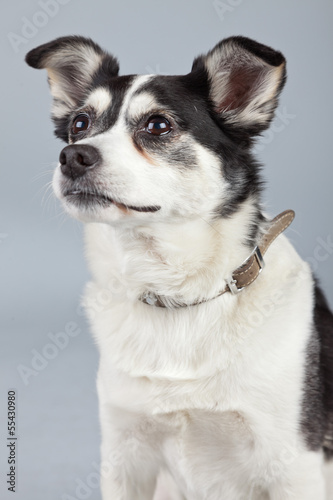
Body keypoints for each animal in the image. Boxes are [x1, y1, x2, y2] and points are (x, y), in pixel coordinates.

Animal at [26, 36, 332, 500]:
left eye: (157, 126)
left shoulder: (294, 463)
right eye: (80, 123)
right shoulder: (125, 458)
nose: (72, 156)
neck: (178, 295)